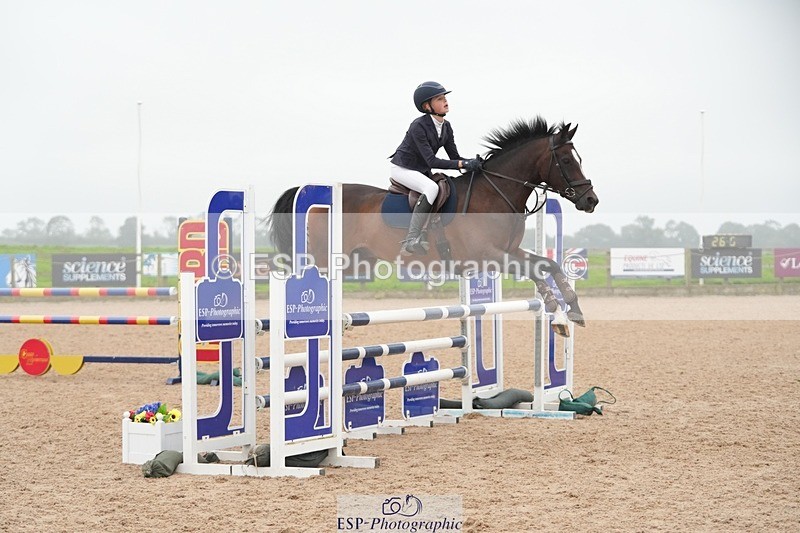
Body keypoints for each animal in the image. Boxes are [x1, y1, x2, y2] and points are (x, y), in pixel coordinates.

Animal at [268, 117, 598, 333]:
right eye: (567, 161)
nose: (590, 200)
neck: (494, 192)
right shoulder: (488, 256)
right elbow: (536, 271)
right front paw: (557, 315)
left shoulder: (509, 251)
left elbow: (547, 264)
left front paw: (574, 309)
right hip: (327, 260)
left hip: (356, 260)